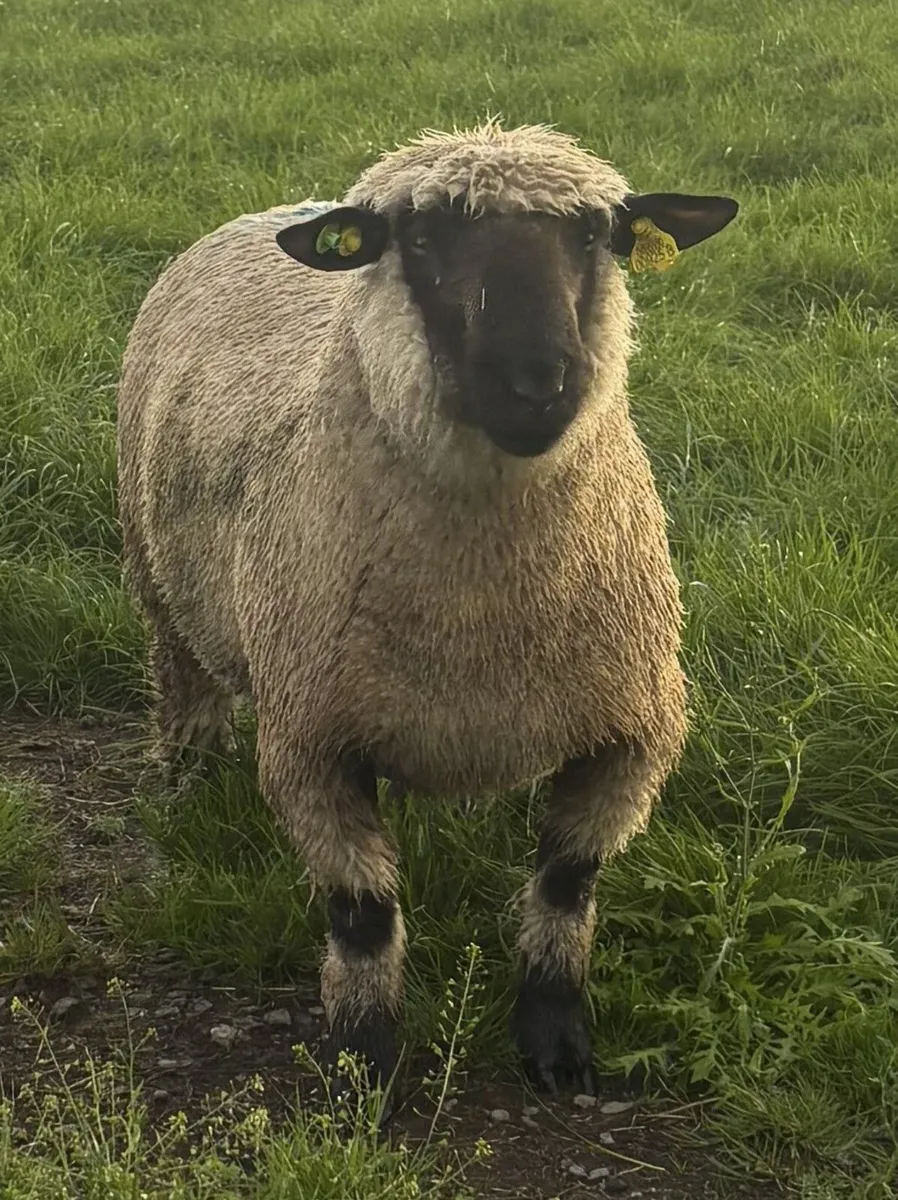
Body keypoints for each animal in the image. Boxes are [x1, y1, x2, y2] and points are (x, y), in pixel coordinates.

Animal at [116, 120, 738, 1103]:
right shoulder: (309, 743)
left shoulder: (633, 733)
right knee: (185, 690)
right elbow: (364, 912)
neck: (480, 606)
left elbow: (567, 882)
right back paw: (184, 782)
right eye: (417, 238)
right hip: (161, 593)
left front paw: (555, 1041)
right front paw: (365, 1061)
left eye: (595, 234)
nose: (537, 381)